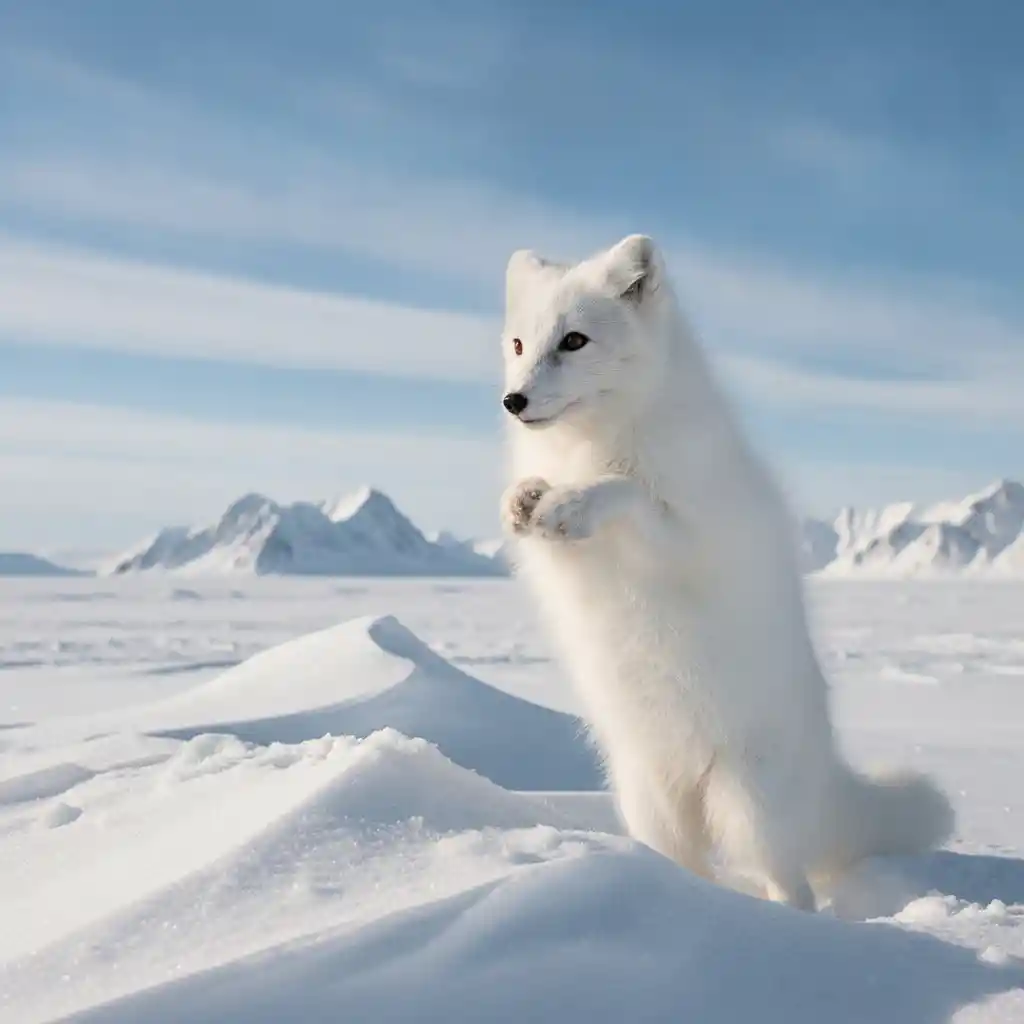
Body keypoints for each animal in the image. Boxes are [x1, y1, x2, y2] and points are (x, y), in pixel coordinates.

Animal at [498, 233, 954, 909]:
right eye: (519, 345)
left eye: (574, 340)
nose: (514, 401)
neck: (591, 444)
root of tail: (827, 773)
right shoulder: (563, 568)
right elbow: (539, 526)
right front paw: (524, 499)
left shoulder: (695, 536)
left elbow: (629, 495)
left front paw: (574, 502)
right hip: (650, 800)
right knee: (690, 868)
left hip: (748, 809)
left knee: (790, 886)